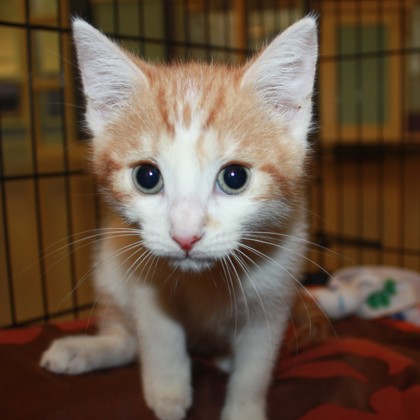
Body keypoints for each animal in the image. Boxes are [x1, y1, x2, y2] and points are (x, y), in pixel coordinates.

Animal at [40, 16, 318, 420]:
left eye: (235, 177)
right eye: (146, 177)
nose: (185, 236)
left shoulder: (276, 291)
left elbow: (255, 366)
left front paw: (243, 408)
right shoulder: (141, 274)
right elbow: (158, 332)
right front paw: (168, 391)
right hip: (110, 263)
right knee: (127, 340)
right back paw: (85, 349)